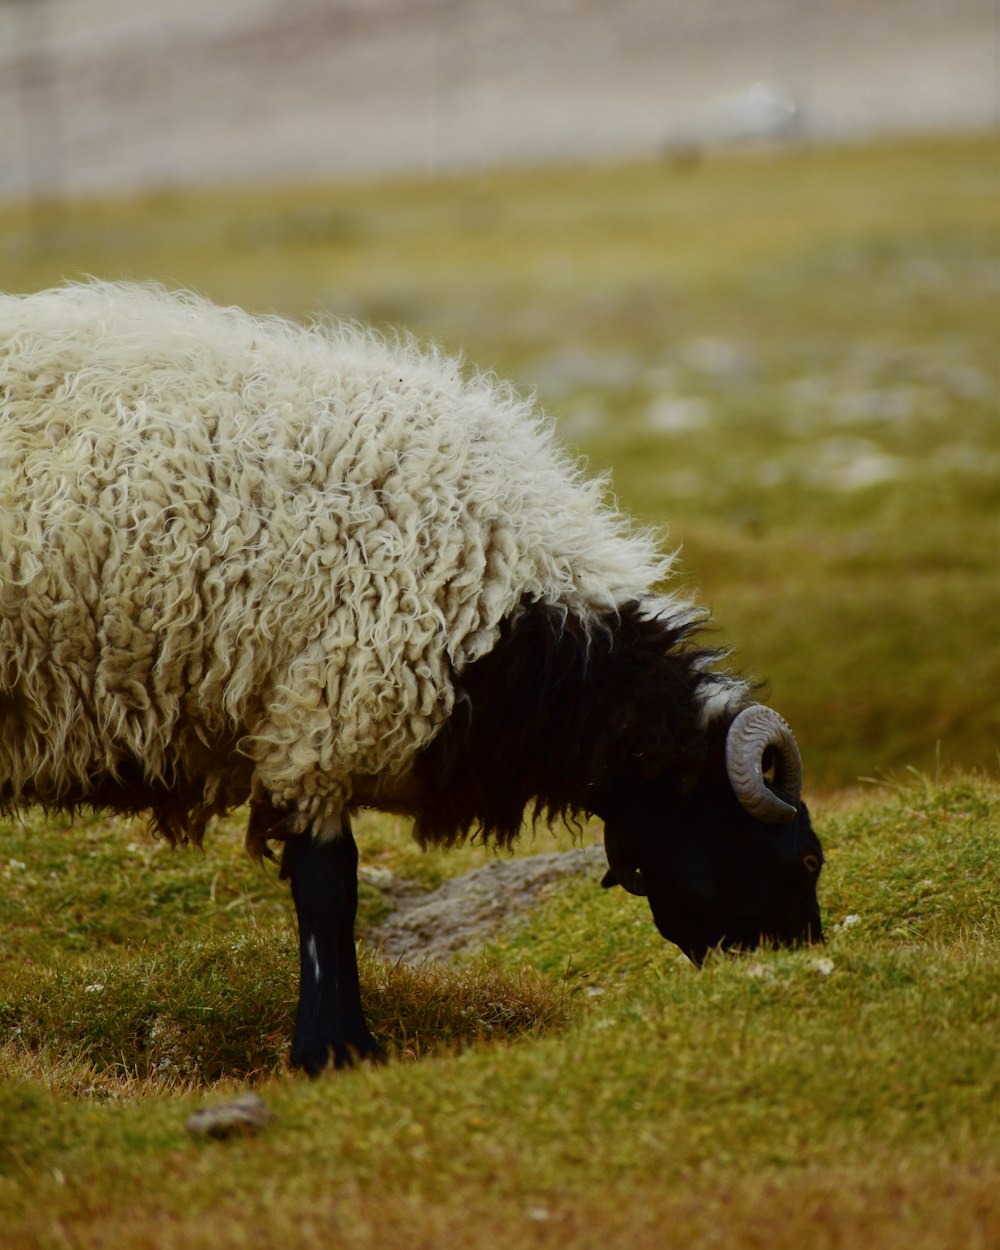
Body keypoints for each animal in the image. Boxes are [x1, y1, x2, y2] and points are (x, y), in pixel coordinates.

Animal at [3, 283, 825, 1075]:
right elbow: (328, 892)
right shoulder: (322, 723)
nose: (805, 970)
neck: (512, 619)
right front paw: (336, 1051)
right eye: (809, 857)